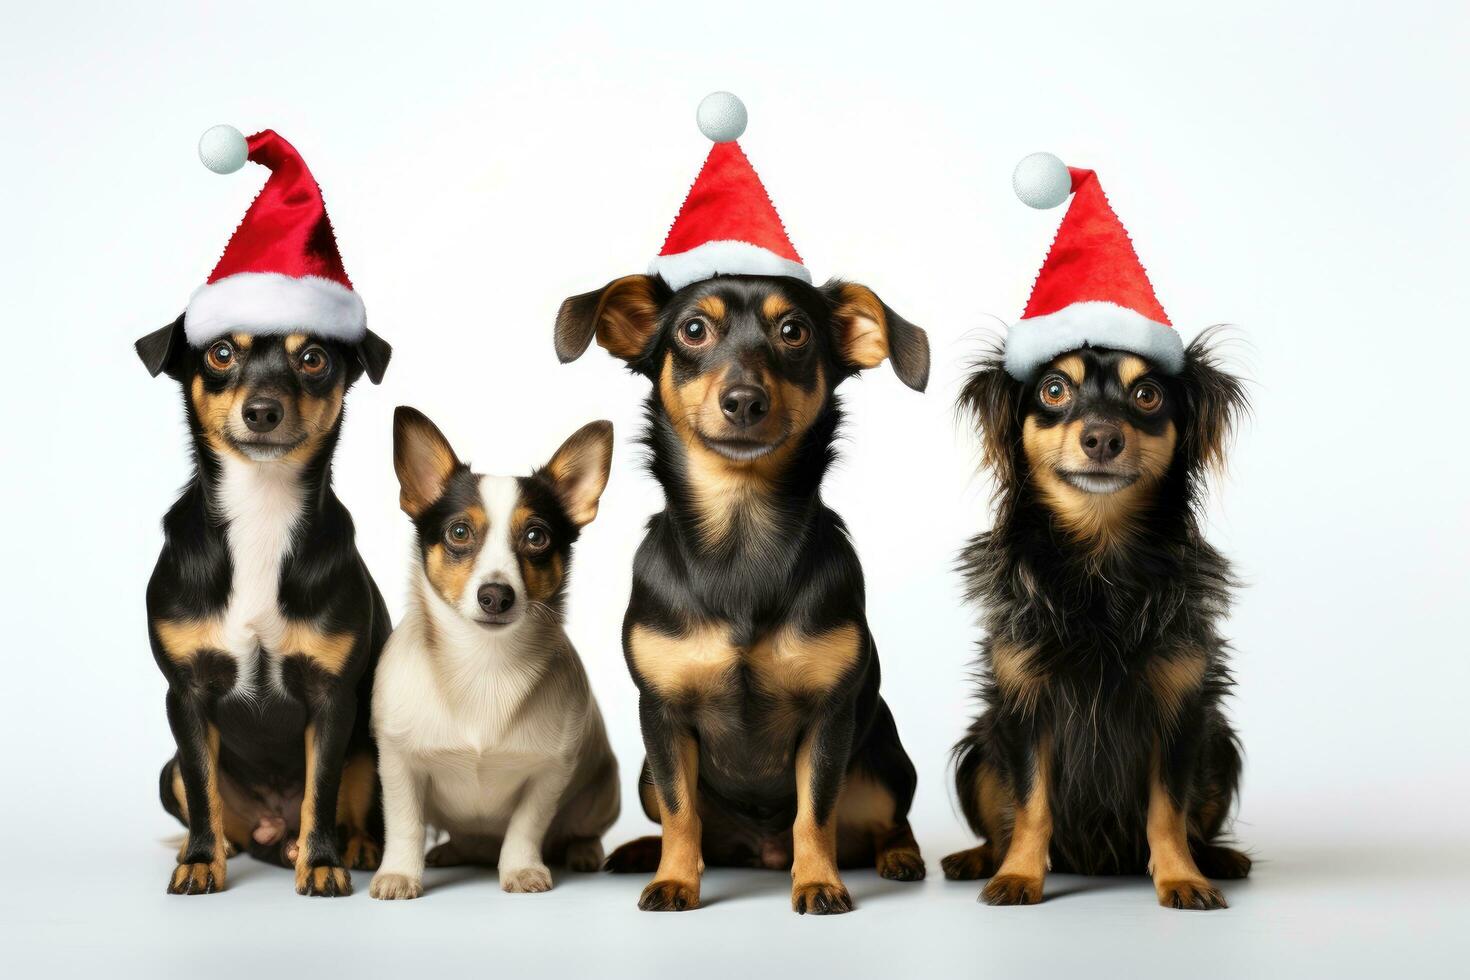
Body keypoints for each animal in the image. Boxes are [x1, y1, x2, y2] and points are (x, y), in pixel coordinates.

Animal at [135, 318, 391, 893]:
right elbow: (201, 787)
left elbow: (322, 790)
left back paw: (354, 847)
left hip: (372, 744)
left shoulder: (332, 699)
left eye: (314, 358)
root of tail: (273, 831)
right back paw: (213, 847)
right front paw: (200, 861)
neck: (261, 513)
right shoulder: (185, 694)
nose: (262, 411)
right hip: (168, 772)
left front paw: (321, 864)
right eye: (220, 353)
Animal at [373, 408, 620, 905]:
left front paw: (522, 869)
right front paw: (400, 874)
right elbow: (405, 826)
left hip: (604, 791)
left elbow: (527, 828)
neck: (484, 663)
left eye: (537, 536)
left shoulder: (548, 774)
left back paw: (583, 852)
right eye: (459, 532)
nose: (495, 596)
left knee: (580, 830)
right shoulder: (398, 765)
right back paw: (452, 851)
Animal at [555, 274, 923, 910]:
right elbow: (681, 812)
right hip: (645, 775)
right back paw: (642, 852)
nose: (745, 400)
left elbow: (814, 812)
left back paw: (899, 856)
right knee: (693, 825)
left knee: (886, 822)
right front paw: (675, 880)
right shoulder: (663, 717)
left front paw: (818, 882)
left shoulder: (829, 718)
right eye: (693, 330)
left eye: (794, 331)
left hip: (884, 766)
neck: (740, 533)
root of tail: (762, 852)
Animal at [940, 337, 1252, 910]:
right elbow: (1031, 804)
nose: (1102, 437)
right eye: (1053, 389)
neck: (1099, 560)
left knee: (1198, 826)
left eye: (1148, 395)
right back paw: (979, 859)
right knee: (998, 825)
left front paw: (1182, 878)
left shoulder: (1179, 708)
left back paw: (1216, 858)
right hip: (978, 752)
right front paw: (1018, 875)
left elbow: (1168, 811)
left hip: (1219, 745)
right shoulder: (1026, 705)